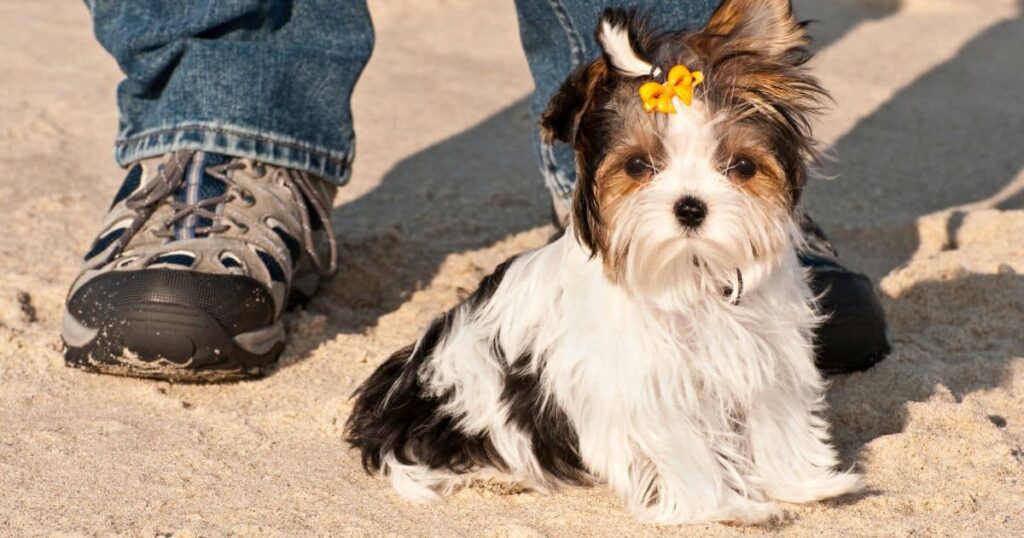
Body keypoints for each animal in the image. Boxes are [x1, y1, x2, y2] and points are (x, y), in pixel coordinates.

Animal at [348, 0, 860, 522]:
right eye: (637, 166)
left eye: (741, 166)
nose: (690, 207)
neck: (690, 274)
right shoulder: (650, 390)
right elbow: (688, 454)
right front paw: (728, 507)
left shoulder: (766, 358)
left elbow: (776, 421)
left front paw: (801, 485)